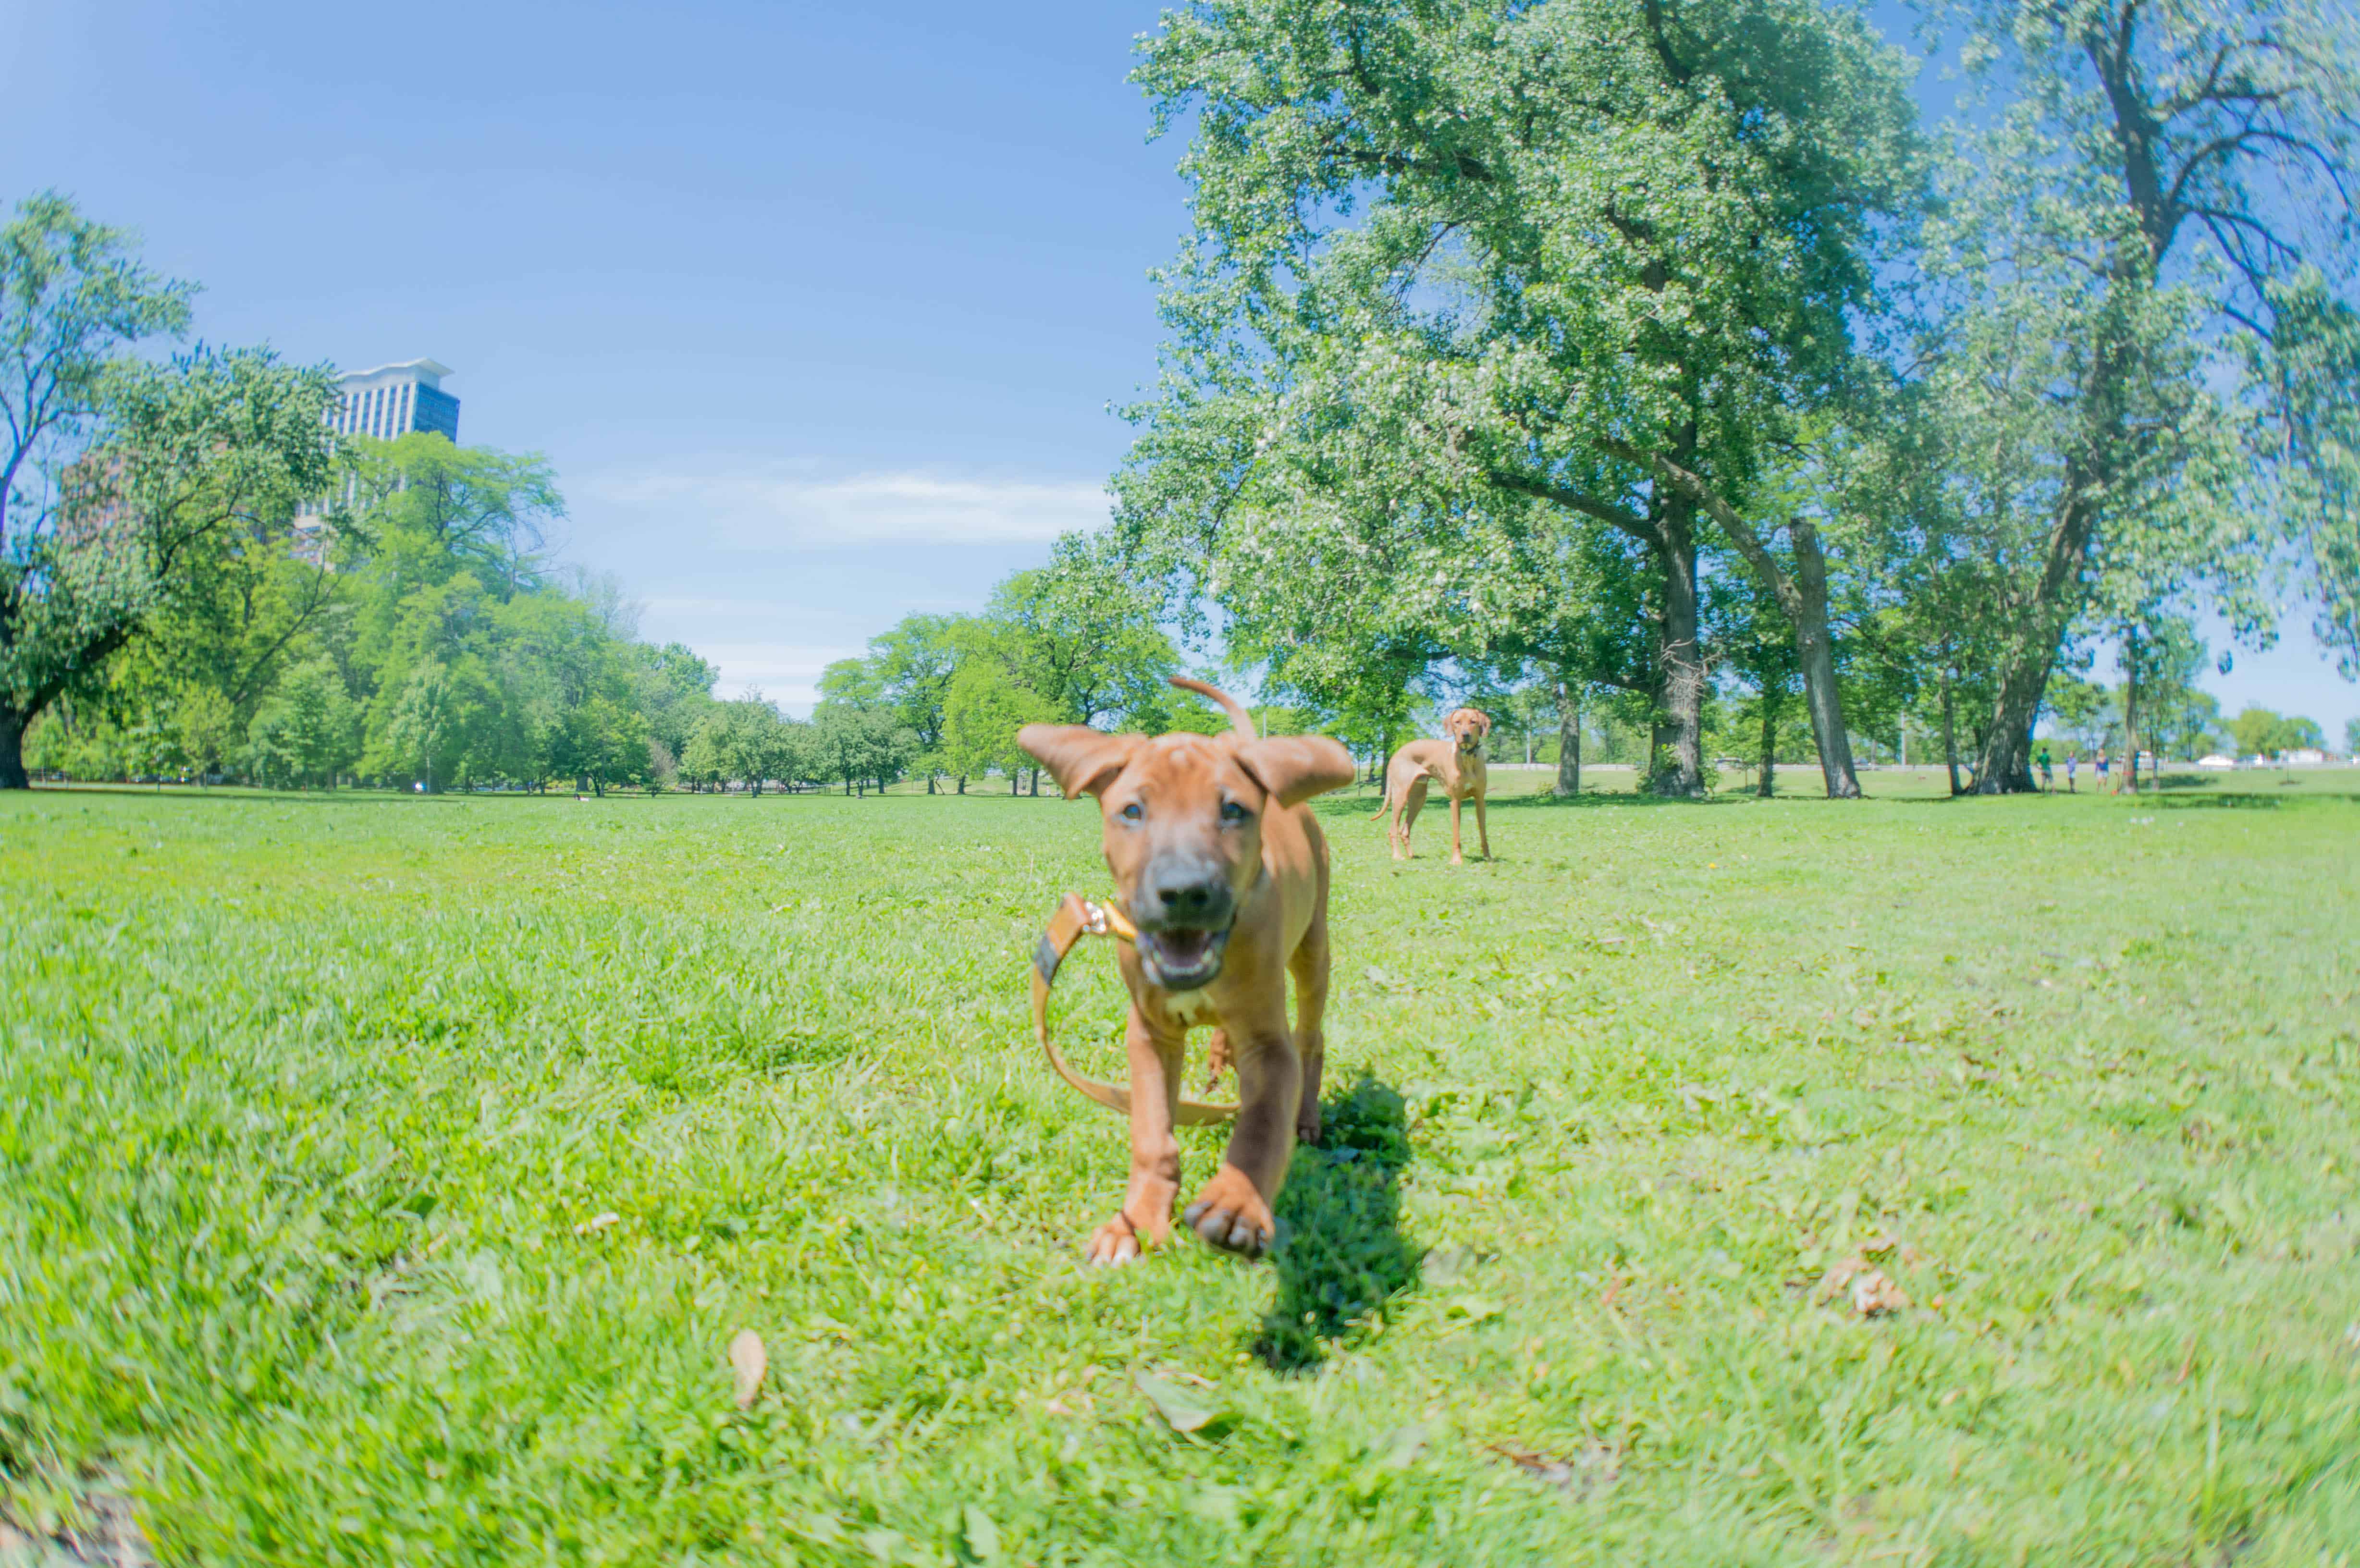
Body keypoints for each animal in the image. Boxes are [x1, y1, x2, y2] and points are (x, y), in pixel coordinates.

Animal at [1024, 675, 1359, 1265]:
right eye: (1133, 811)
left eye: (1234, 811)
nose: (1184, 891)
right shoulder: (1149, 1035)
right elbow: (1153, 1136)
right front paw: (1135, 1222)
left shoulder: (1270, 1045)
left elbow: (1262, 1122)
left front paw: (1238, 1203)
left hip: (1313, 951)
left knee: (1311, 1039)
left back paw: (1307, 1117)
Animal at [1368, 708, 1491, 864]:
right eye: (1457, 722)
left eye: (1473, 722)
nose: (1465, 735)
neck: (1467, 758)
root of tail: (1396, 753)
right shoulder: (1455, 801)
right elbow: (1456, 834)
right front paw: (1457, 860)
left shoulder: (1480, 800)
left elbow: (1483, 832)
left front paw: (1488, 858)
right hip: (1401, 797)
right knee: (1393, 830)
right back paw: (1397, 856)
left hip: (1418, 799)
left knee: (1404, 830)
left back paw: (1412, 856)